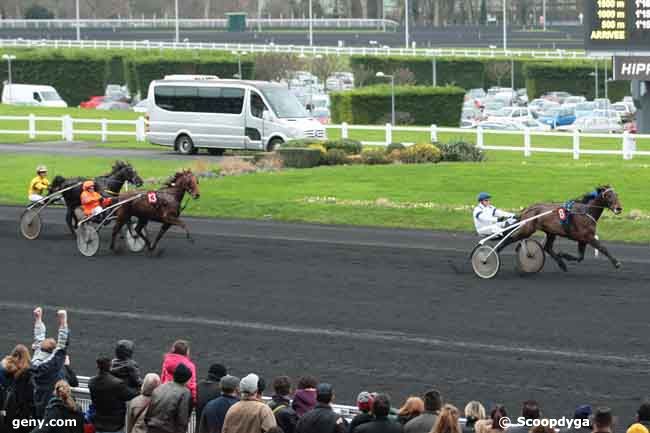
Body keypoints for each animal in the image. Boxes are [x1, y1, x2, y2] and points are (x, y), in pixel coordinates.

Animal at [496, 185, 624, 270]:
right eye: (608, 195)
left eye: (617, 195)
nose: (619, 208)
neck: (586, 212)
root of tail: (527, 209)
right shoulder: (588, 237)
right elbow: (602, 248)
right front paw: (616, 263)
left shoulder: (583, 239)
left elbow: (580, 257)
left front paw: (564, 255)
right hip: (527, 229)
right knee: (510, 239)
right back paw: (495, 252)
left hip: (551, 232)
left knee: (547, 247)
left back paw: (561, 263)